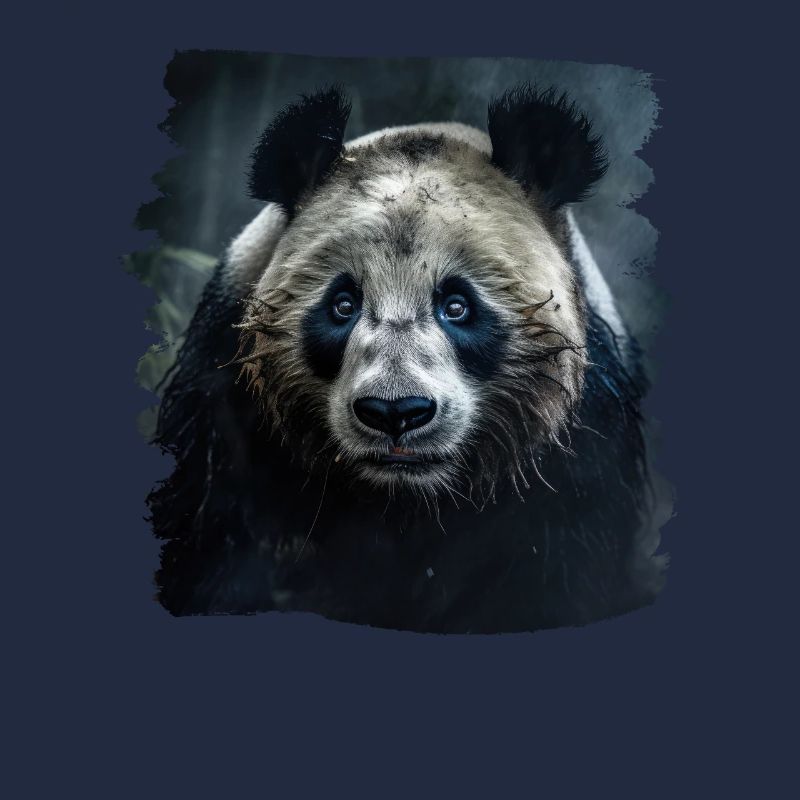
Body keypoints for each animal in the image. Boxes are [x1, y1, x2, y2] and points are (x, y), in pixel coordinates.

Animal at [149, 84, 667, 633]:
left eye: (457, 305)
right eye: (343, 304)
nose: (394, 413)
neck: (404, 497)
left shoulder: (583, 443)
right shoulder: (222, 404)